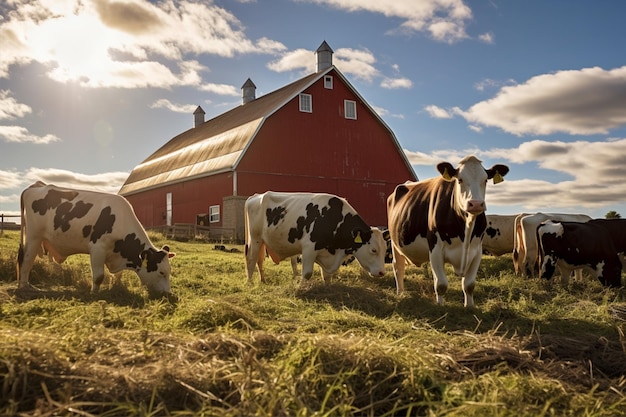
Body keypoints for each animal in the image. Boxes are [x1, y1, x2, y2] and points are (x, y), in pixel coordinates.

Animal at [17, 182, 173, 296]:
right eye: (161, 272)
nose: (168, 294)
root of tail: (36, 187)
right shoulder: (98, 249)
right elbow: (99, 276)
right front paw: (94, 293)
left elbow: (118, 275)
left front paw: (116, 286)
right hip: (33, 237)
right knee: (27, 261)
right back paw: (25, 286)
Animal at [244, 191, 386, 282]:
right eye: (373, 250)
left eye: (385, 250)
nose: (382, 273)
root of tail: (256, 196)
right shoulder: (309, 249)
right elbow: (306, 274)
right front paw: (302, 288)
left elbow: (327, 276)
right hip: (255, 239)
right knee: (251, 259)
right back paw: (250, 282)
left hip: (262, 241)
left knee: (259, 260)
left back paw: (262, 280)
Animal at [386, 155, 508, 306]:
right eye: (459, 179)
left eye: (485, 180)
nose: (476, 204)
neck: (466, 229)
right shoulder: (435, 248)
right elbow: (441, 284)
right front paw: (440, 306)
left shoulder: (477, 251)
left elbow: (469, 285)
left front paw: (469, 307)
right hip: (395, 242)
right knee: (398, 267)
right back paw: (400, 293)